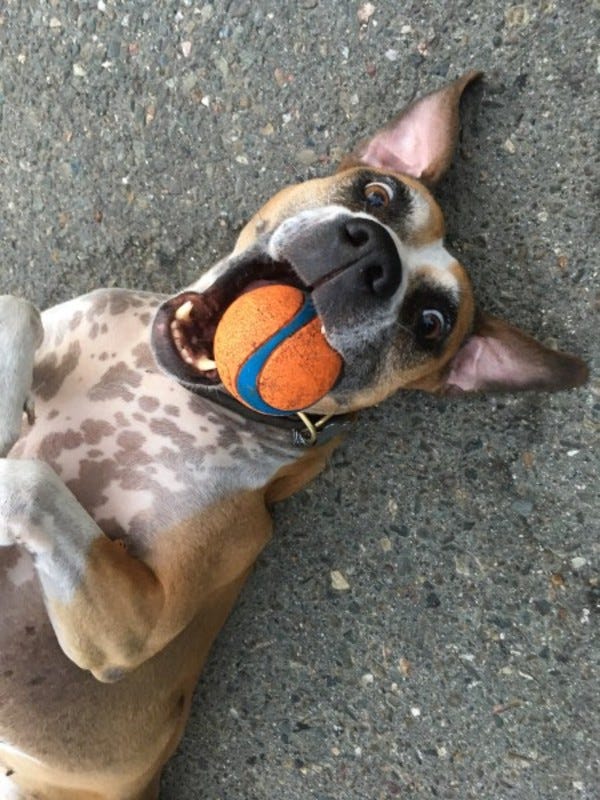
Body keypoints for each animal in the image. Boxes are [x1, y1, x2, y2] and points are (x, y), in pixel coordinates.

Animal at [0, 70, 592, 800]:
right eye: (378, 193)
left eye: (430, 322)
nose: (372, 255)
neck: (170, 385)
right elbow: (18, 308)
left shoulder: (132, 626)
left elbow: (31, 482)